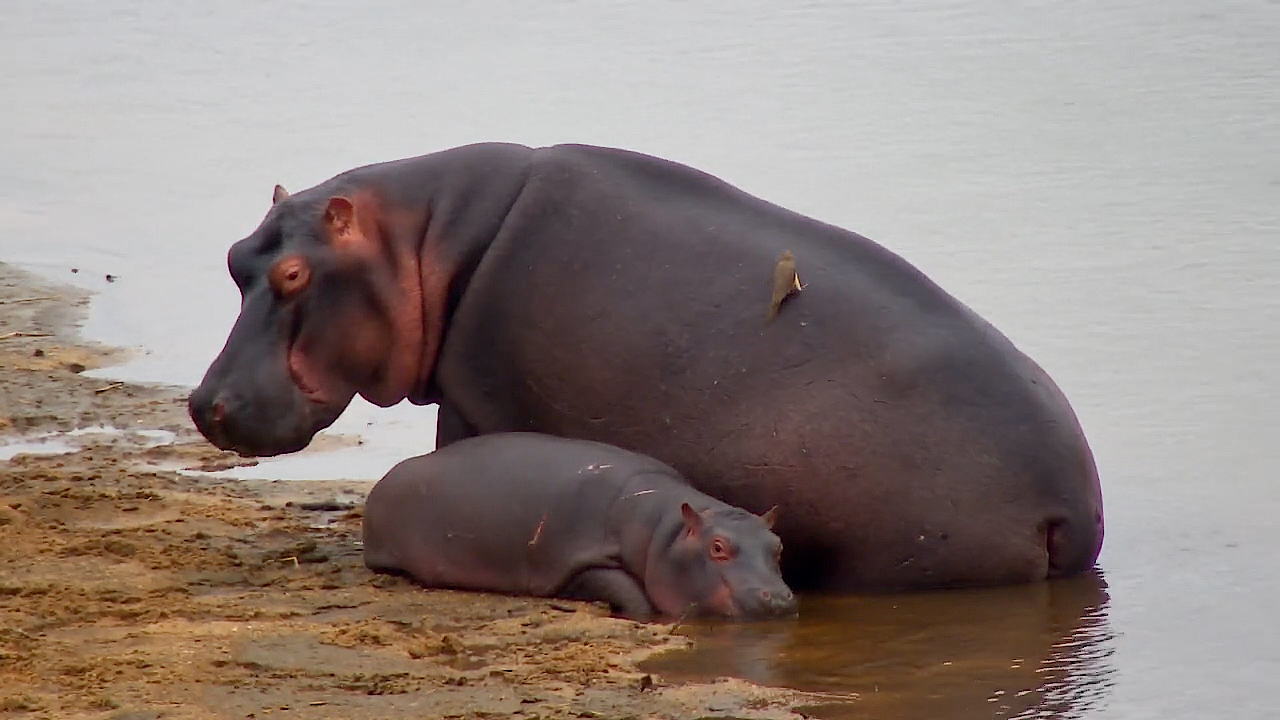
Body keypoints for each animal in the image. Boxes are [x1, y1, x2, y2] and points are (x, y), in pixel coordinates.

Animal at [188, 141, 1104, 592]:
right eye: (233, 257)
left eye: (293, 274)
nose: (203, 404)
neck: (424, 238)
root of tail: (1075, 505)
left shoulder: (477, 398)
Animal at [361, 432, 797, 621]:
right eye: (717, 547)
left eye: (777, 545)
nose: (778, 598)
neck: (664, 530)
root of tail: (387, 476)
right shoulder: (577, 557)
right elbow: (631, 594)